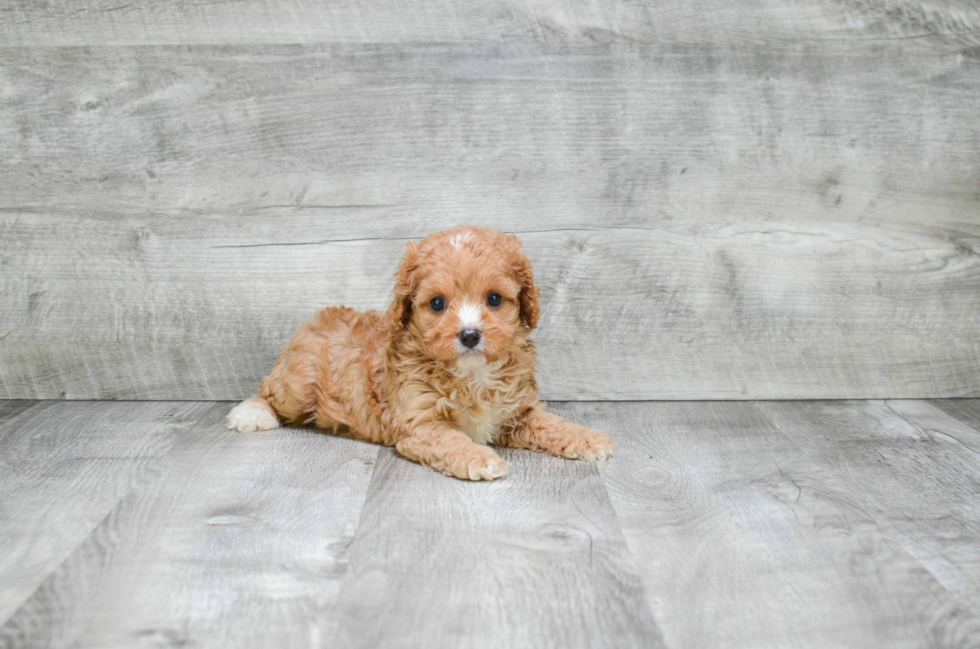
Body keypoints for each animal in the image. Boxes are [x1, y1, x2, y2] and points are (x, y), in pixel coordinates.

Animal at [229, 225, 612, 478]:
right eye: (438, 303)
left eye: (494, 299)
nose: (469, 335)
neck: (472, 374)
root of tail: (318, 317)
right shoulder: (419, 422)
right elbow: (452, 441)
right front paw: (480, 458)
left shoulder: (519, 411)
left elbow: (552, 424)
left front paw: (588, 437)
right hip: (300, 383)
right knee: (269, 390)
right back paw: (251, 414)